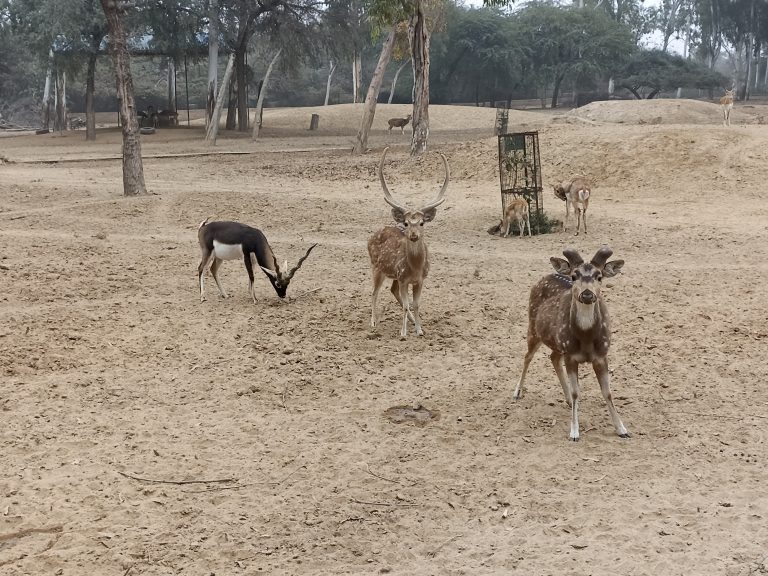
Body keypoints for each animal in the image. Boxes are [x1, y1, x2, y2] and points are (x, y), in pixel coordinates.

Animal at [368, 146, 450, 340]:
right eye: (405, 223)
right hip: (376, 267)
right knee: (374, 292)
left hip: (393, 275)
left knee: (392, 290)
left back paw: (411, 321)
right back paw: (373, 322)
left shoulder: (419, 280)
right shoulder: (404, 277)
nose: (413, 235)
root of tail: (371, 236)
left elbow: (416, 304)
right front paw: (403, 333)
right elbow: (406, 305)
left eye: (421, 223)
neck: (415, 268)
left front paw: (420, 330)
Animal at [512, 246, 628, 440]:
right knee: (527, 356)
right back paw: (517, 393)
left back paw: (566, 400)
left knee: (553, 357)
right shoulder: (571, 355)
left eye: (599, 276)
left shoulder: (602, 355)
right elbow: (576, 392)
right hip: (534, 329)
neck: (586, 339)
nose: (587, 294)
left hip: (557, 343)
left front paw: (622, 429)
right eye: (574, 276)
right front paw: (574, 432)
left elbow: (608, 393)